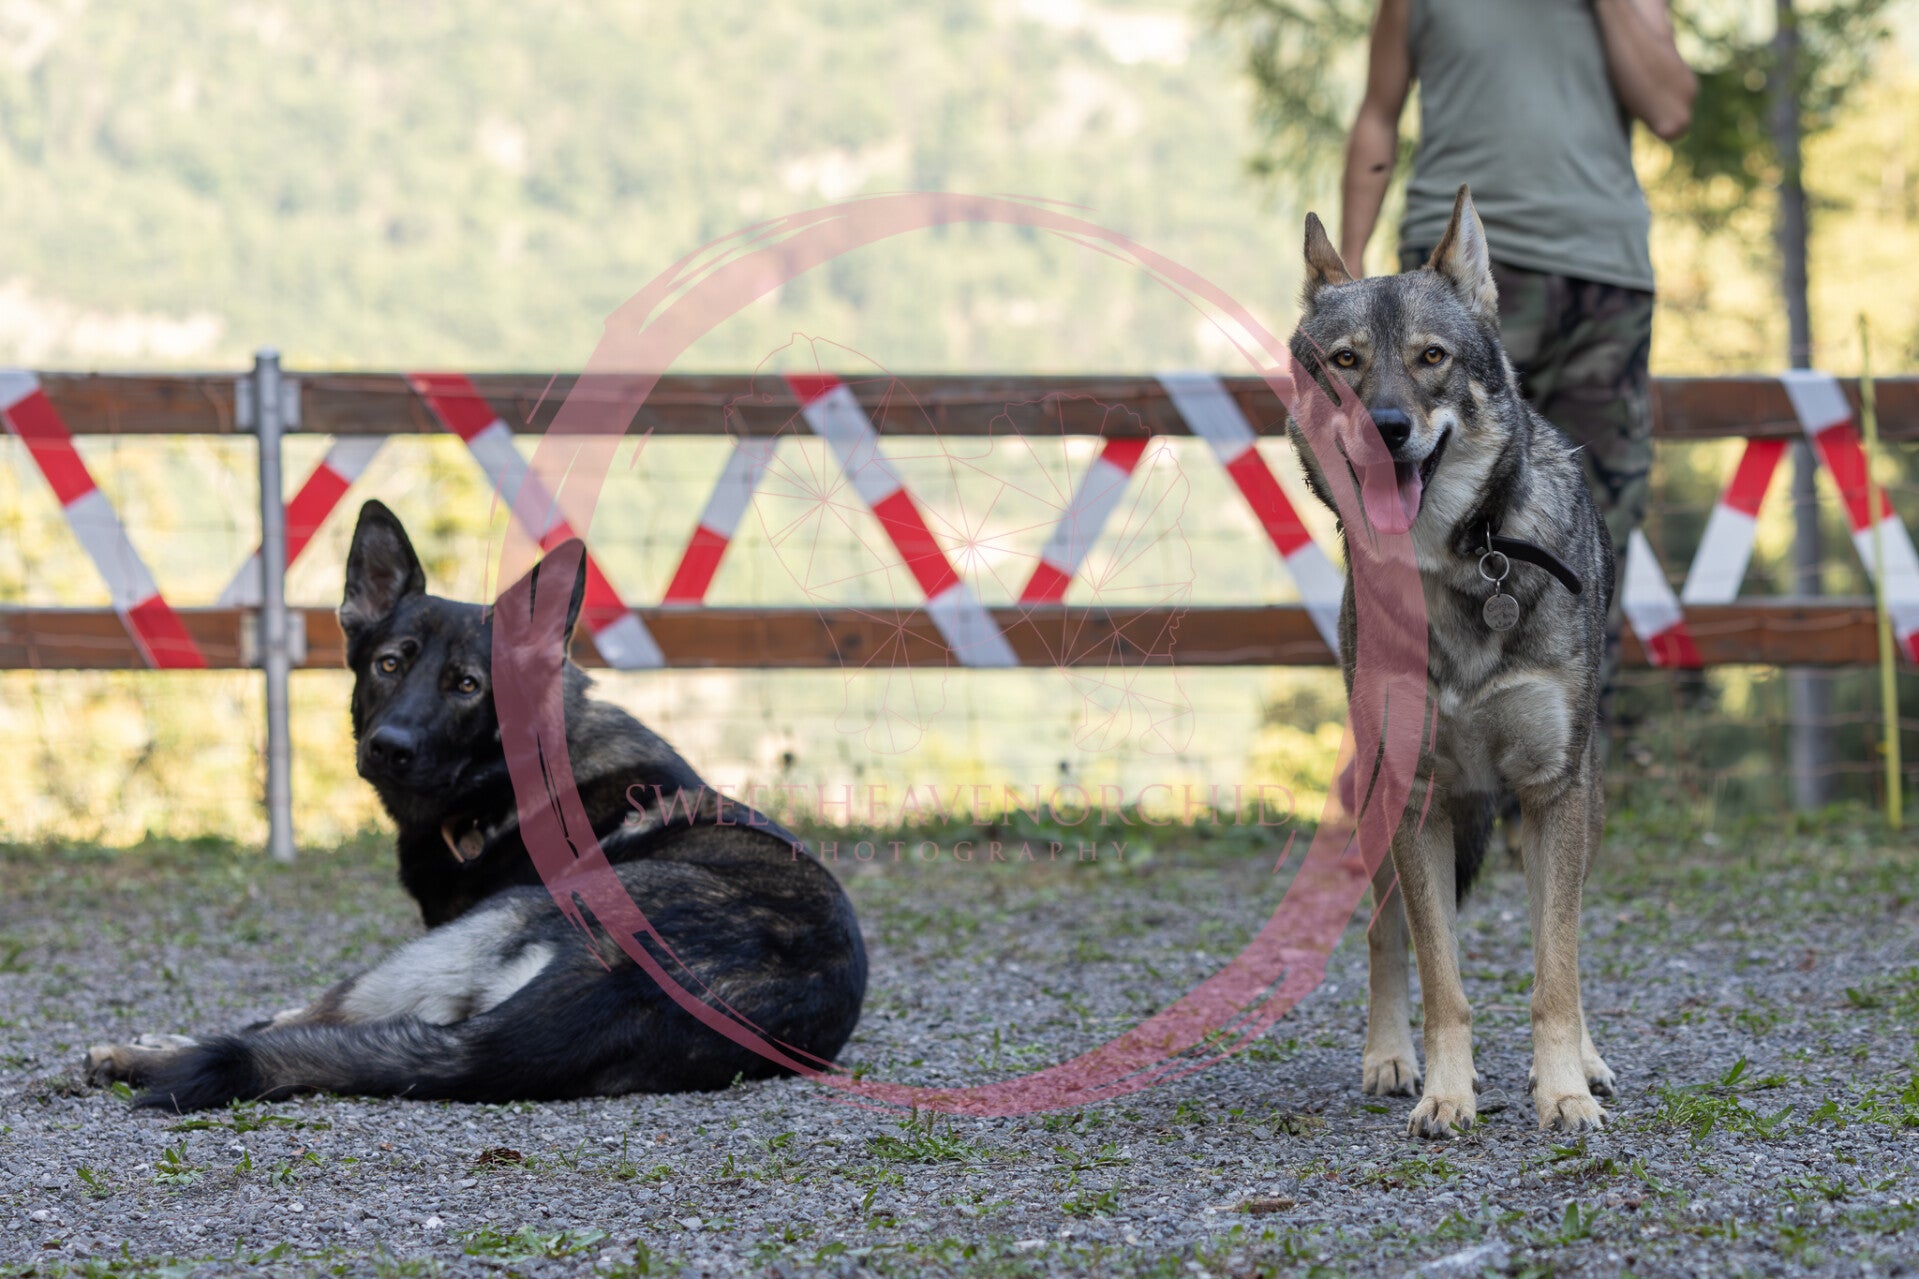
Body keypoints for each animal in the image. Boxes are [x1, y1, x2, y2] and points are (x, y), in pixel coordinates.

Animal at [87, 501, 868, 1110]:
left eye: (467, 685)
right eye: (389, 664)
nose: (389, 747)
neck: (508, 780)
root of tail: (635, 983)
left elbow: (287, 1016)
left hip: (458, 938)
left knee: (312, 1020)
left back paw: (141, 1055)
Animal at [1287, 187, 1616, 1137]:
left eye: (1430, 358)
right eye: (1346, 363)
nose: (1385, 427)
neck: (1463, 567)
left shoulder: (1552, 792)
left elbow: (1554, 969)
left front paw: (1563, 1091)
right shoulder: (1416, 796)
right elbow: (1442, 978)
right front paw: (1443, 1090)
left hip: (1580, 801)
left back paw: (1586, 1062)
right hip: (1374, 804)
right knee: (1381, 933)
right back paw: (1389, 1058)